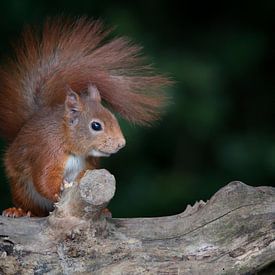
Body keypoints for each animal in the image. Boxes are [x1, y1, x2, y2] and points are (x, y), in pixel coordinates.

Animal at [0, 17, 170, 220]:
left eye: (113, 118)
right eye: (96, 126)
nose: (121, 144)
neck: (70, 144)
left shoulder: (88, 163)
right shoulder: (47, 151)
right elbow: (43, 178)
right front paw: (56, 193)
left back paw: (104, 210)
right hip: (21, 188)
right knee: (32, 206)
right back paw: (18, 211)